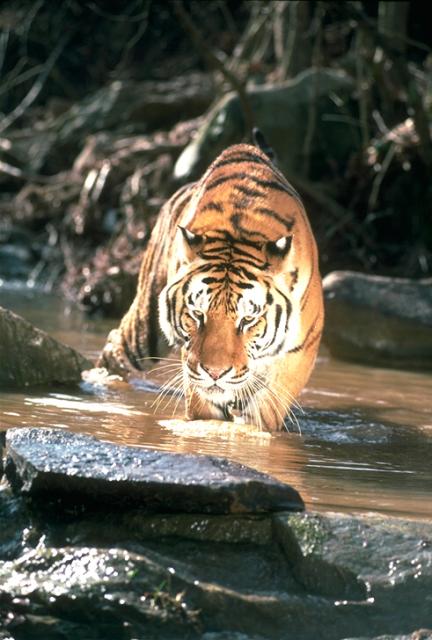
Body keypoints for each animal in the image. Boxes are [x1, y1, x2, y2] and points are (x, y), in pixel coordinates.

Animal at [97, 139, 324, 431]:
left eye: (248, 319)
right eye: (198, 314)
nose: (215, 373)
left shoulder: (299, 351)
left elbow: (265, 407)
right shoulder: (193, 365)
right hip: (146, 329)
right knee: (116, 346)